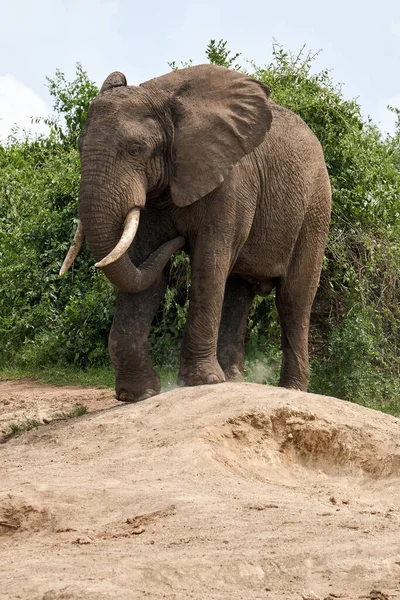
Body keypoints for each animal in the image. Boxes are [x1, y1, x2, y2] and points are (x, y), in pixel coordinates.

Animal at [60, 63, 332, 400]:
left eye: (137, 149)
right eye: (80, 147)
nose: (178, 240)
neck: (162, 98)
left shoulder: (230, 182)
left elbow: (209, 261)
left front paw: (202, 381)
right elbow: (144, 268)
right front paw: (138, 395)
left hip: (315, 209)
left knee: (293, 298)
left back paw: (292, 389)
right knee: (238, 292)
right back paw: (233, 380)